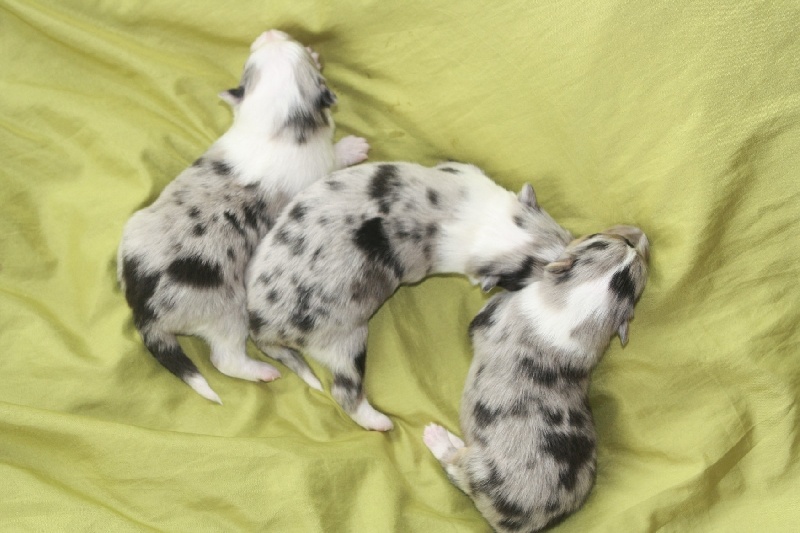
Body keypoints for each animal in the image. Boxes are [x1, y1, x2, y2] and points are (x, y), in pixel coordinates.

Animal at [118, 29, 368, 402]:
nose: (271, 32)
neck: (276, 127)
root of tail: (144, 307)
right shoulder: (320, 166)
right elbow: (336, 155)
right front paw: (353, 147)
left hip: (133, 229)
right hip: (230, 312)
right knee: (225, 359)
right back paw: (262, 371)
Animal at [247, 161, 572, 428]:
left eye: (566, 236)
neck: (485, 227)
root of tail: (262, 329)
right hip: (345, 341)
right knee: (345, 393)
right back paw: (381, 422)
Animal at [424, 225, 648, 532]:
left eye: (593, 235)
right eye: (623, 241)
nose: (642, 234)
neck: (582, 305)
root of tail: (527, 523)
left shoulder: (491, 315)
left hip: (478, 471)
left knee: (454, 466)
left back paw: (437, 437)